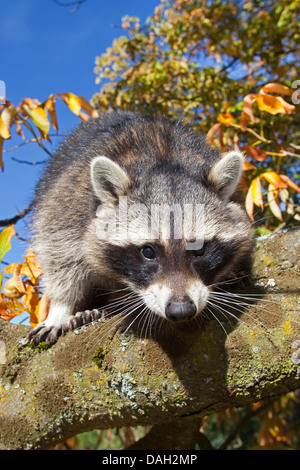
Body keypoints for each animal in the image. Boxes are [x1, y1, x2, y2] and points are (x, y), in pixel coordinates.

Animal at [27, 111, 253, 344]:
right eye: (148, 251)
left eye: (200, 249)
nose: (181, 310)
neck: (165, 158)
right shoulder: (69, 202)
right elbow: (60, 252)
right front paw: (61, 309)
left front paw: (229, 272)